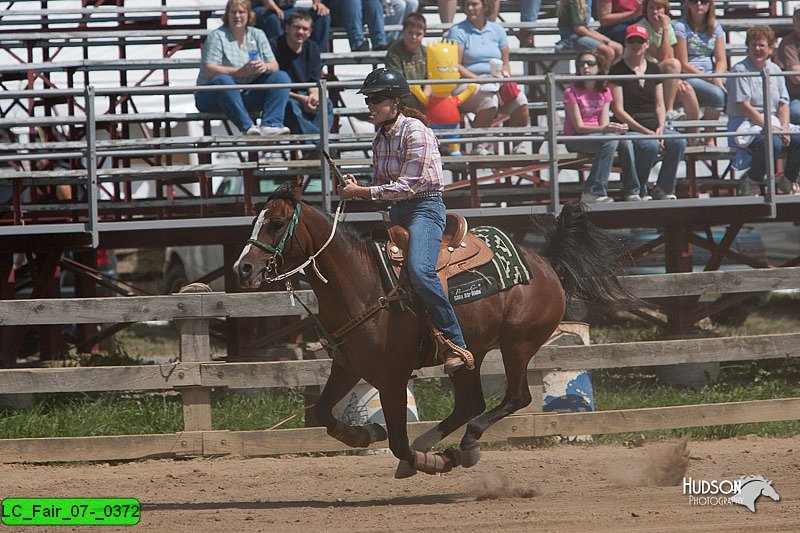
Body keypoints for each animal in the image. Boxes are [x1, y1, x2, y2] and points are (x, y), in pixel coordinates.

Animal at [234, 184, 636, 478]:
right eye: (256, 220)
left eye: (277, 223)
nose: (243, 268)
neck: (363, 284)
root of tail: (545, 262)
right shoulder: (347, 366)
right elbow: (323, 413)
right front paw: (365, 433)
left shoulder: (392, 378)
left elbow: (397, 440)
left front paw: (427, 461)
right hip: (469, 354)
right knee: (470, 403)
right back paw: (439, 445)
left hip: (518, 343)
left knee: (516, 397)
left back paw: (462, 447)